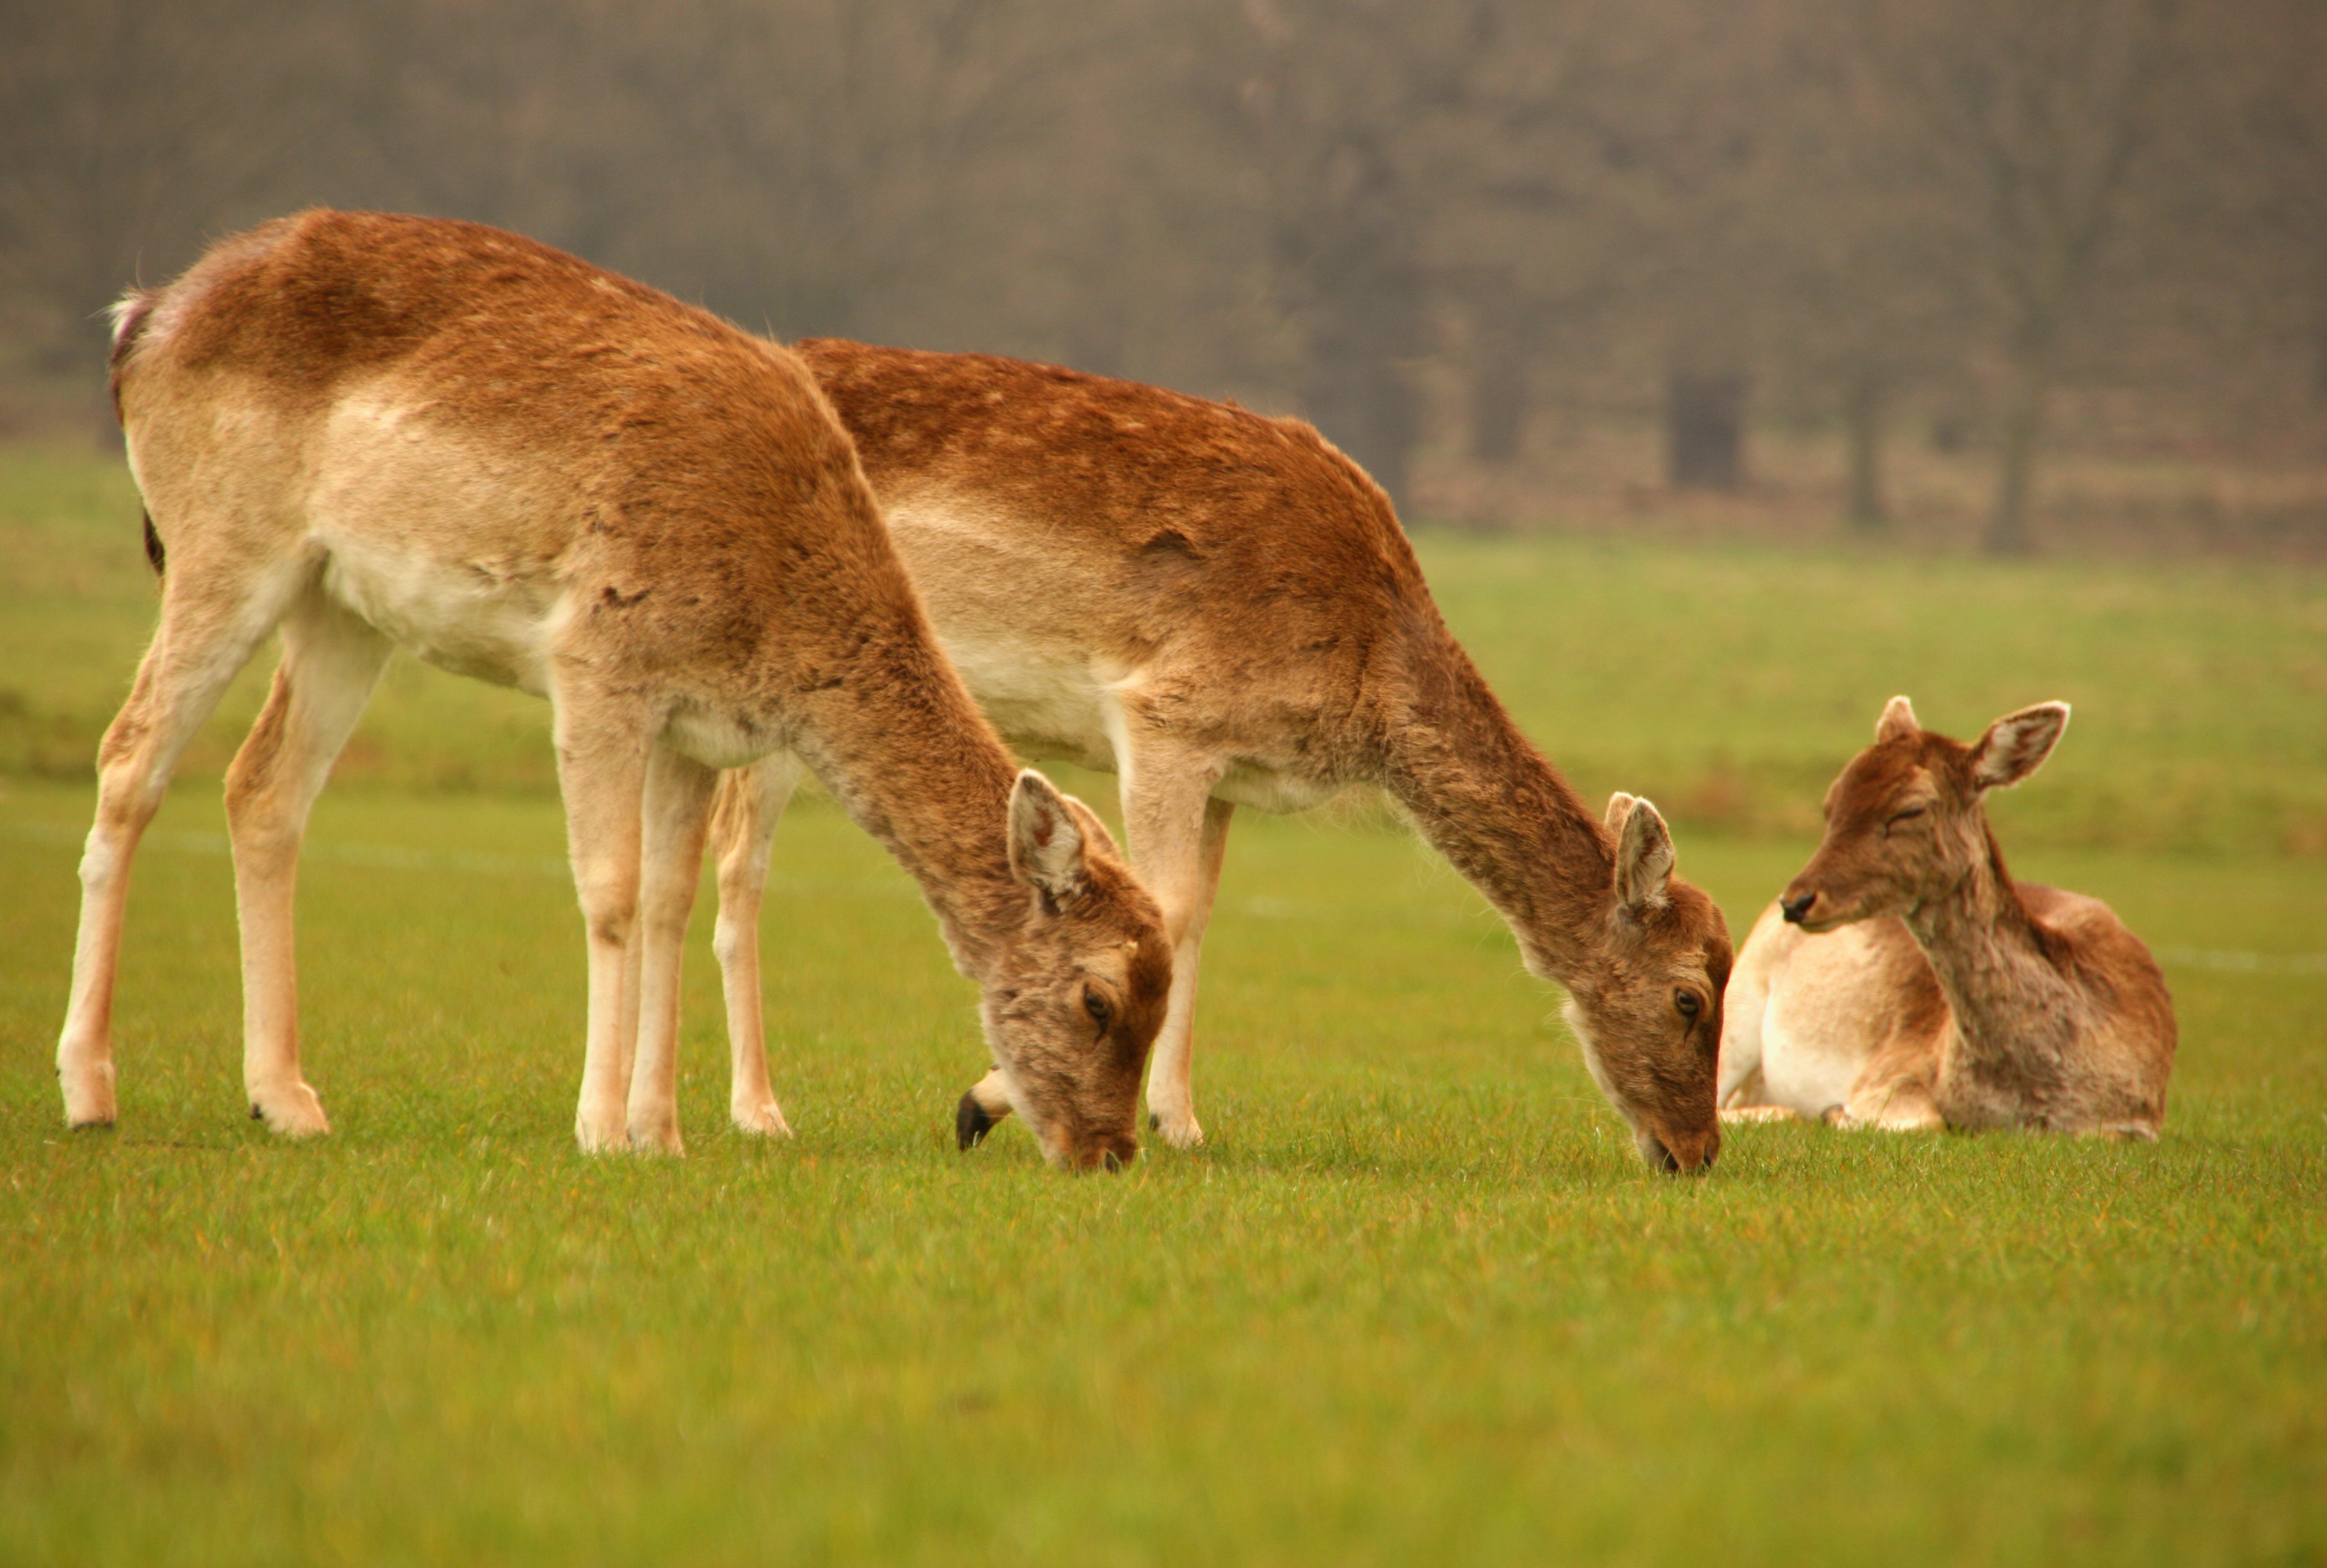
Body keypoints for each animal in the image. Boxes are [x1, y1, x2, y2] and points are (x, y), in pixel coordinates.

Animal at [55, 210, 1173, 1158]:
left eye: (1163, 1002)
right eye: (1099, 999)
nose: (1111, 1152)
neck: (777, 597)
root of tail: (142, 317)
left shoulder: (697, 726)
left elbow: (672, 900)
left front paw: (660, 1131)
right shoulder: (599, 660)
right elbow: (612, 890)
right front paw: (599, 1126)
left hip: (344, 606)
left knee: (263, 787)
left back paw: (285, 1099)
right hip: (222, 537)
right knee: (130, 755)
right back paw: (89, 1091)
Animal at [698, 344, 1741, 1172]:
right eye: (1689, 997)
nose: (1695, 1152)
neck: (1365, 668)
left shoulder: (1233, 771)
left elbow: (1196, 919)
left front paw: (1181, 1123)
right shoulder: (1165, 714)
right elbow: (1160, 908)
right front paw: (993, 1103)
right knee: (739, 862)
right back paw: (758, 1112)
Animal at [1713, 697, 2178, 1135]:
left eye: (1910, 810)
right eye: (1831, 805)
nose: (1796, 900)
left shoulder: (2140, 1120)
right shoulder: (1891, 1067)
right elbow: (1928, 1120)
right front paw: (1833, 1113)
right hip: (1736, 997)